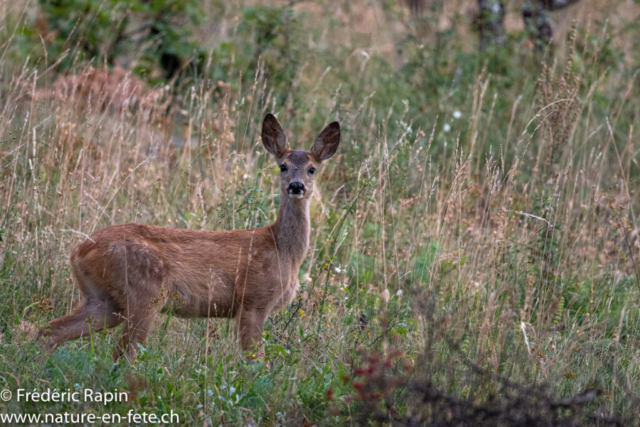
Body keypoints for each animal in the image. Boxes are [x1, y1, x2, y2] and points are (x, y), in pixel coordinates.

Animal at [39, 113, 340, 362]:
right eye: (283, 166)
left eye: (312, 169)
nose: (296, 186)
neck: (282, 250)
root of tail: (77, 252)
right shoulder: (253, 299)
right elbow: (254, 362)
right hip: (143, 293)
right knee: (121, 354)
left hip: (103, 300)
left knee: (49, 331)